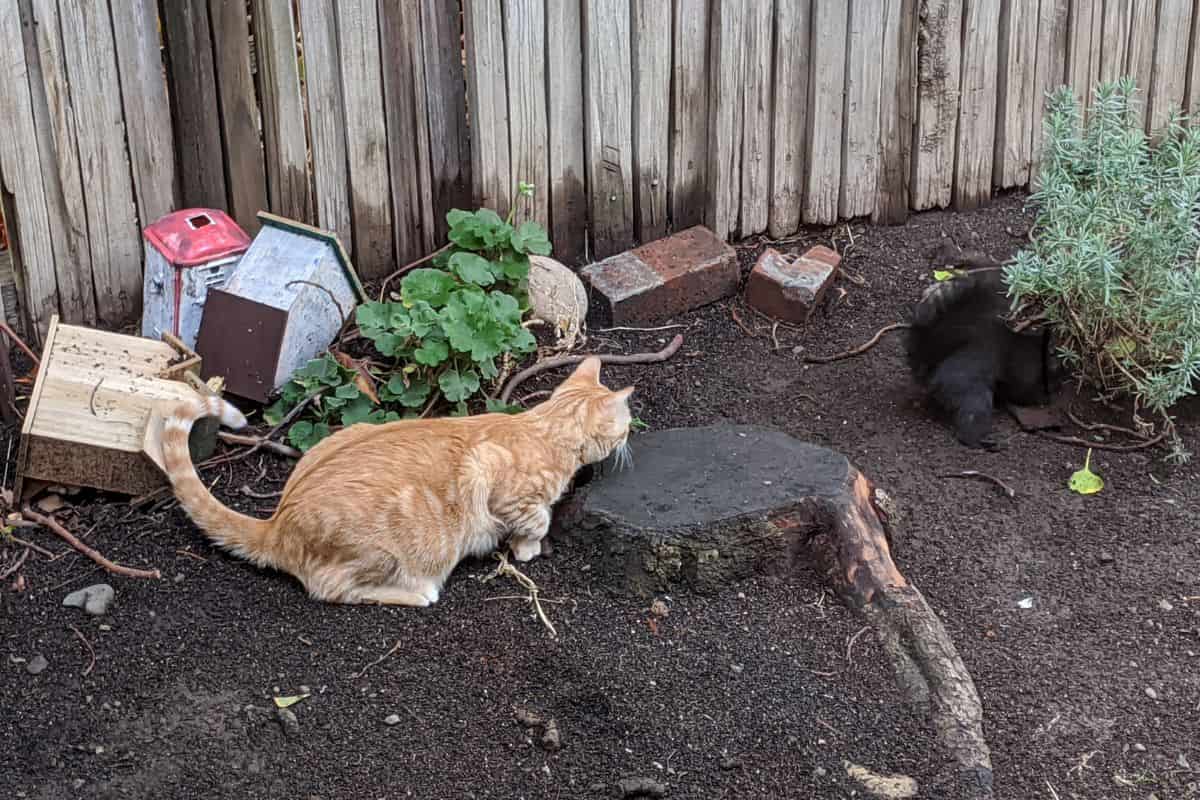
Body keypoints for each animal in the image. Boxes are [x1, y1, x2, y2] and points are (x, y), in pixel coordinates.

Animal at [157, 357, 638, 606]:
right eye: (626, 425)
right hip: (386, 552)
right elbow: (536, 520)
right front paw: (527, 548)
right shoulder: (503, 488)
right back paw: (418, 593)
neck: (544, 428)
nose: (631, 436)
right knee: (331, 589)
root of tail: (276, 521)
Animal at [902, 268, 1065, 450]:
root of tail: (930, 377)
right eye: (1053, 356)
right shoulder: (1024, 372)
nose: (1062, 372)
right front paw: (1044, 396)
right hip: (973, 396)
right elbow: (1025, 392)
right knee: (970, 423)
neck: (1033, 350)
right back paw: (982, 441)